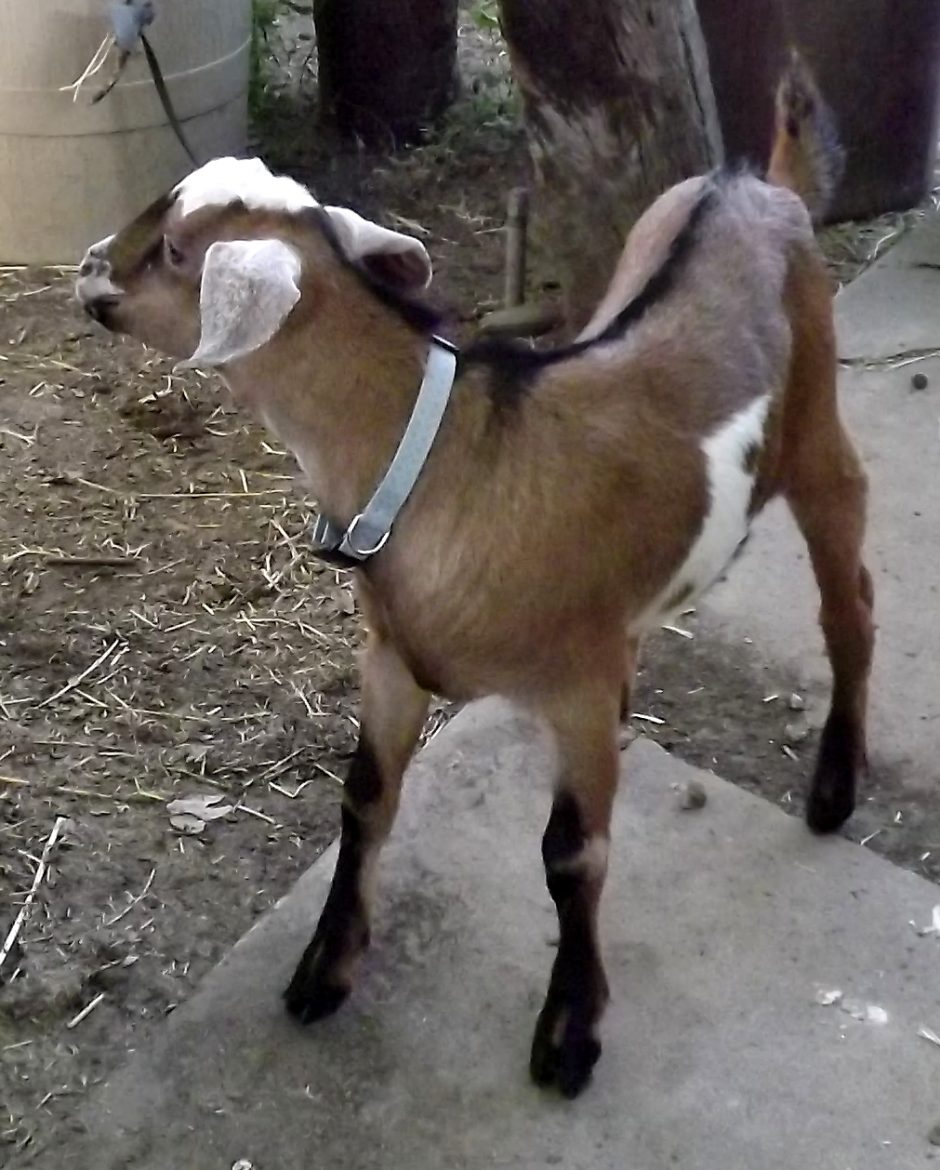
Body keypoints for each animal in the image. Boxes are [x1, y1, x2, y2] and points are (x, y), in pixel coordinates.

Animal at [75, 56, 873, 1098]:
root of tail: (761, 184)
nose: (89, 266)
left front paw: (570, 1035)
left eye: (173, 248)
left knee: (849, 606)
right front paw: (323, 972)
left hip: (818, 431)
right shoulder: (390, 656)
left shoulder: (572, 685)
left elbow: (572, 856)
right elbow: (365, 797)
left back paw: (833, 791)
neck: (451, 456)